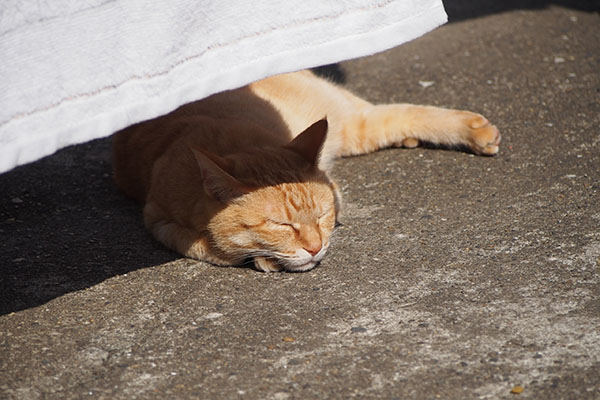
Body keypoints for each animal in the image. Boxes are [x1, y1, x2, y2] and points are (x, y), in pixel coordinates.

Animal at [111, 71, 496, 272]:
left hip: (348, 119)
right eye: (281, 225)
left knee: (399, 112)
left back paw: (476, 131)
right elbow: (207, 248)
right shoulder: (158, 219)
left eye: (322, 215)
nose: (315, 248)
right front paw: (261, 255)